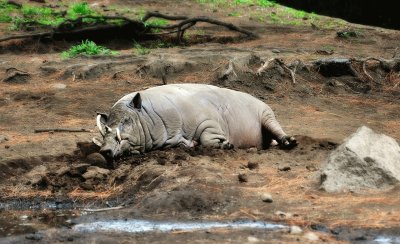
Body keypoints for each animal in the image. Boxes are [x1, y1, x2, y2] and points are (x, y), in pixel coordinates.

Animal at [94, 84, 294, 160]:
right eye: (106, 126)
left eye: (127, 120)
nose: (104, 150)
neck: (149, 118)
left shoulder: (209, 122)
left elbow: (207, 137)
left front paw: (227, 144)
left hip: (266, 114)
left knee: (277, 130)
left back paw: (290, 142)